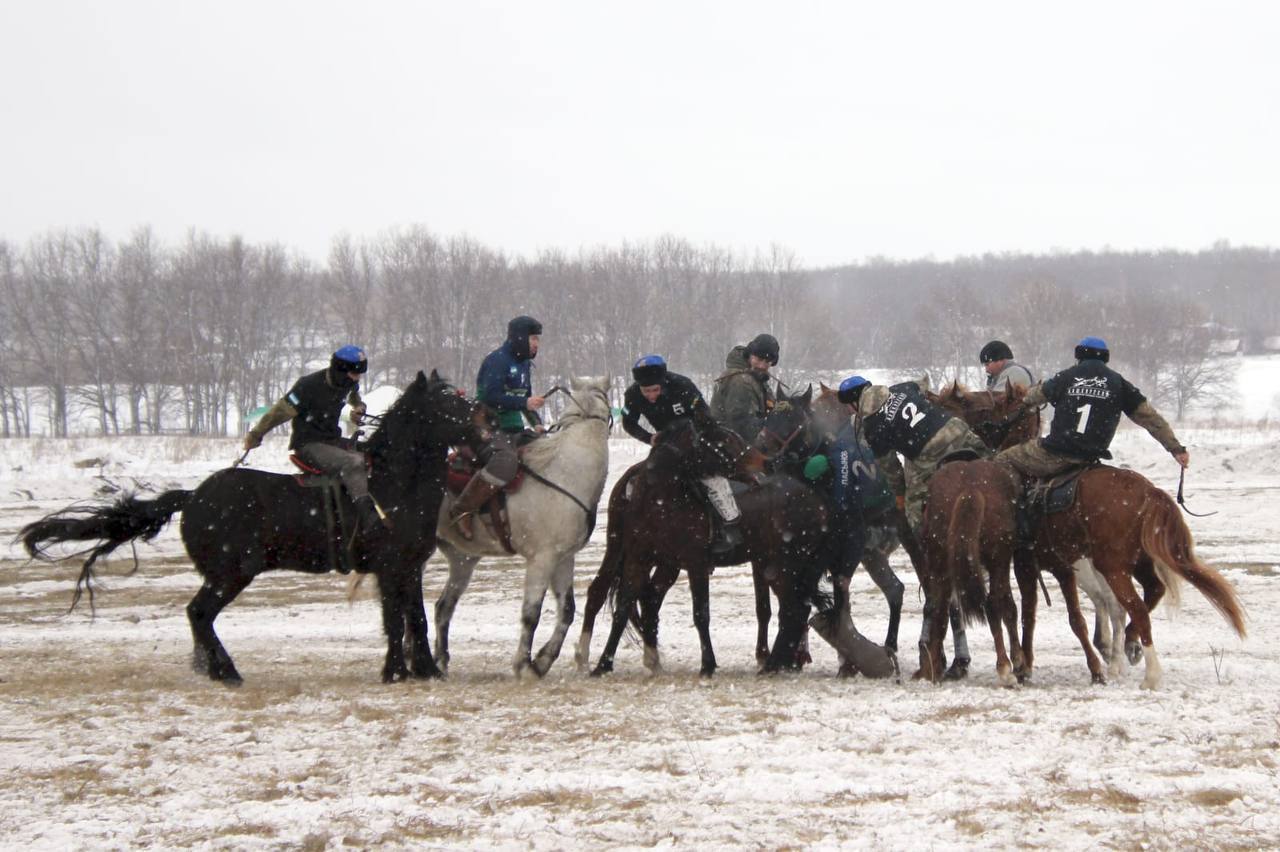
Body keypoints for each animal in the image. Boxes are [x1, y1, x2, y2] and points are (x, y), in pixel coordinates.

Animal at [18, 370, 488, 685]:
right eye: (448, 402)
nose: (484, 430)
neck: (390, 484)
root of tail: (193, 496)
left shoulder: (410, 569)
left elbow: (417, 619)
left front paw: (426, 670)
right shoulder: (389, 570)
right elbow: (394, 621)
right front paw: (395, 672)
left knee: (199, 618)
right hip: (231, 573)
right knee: (199, 613)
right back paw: (226, 672)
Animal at [432, 373, 611, 675]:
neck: (566, 471)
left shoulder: (563, 558)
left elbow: (567, 610)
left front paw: (543, 660)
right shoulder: (541, 559)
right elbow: (531, 614)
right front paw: (525, 665)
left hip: (462, 560)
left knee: (442, 607)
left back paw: (438, 662)